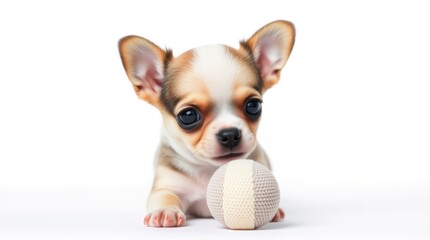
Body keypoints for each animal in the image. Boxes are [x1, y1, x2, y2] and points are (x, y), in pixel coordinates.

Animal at [118, 20, 296, 227]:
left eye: (254, 105)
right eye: (188, 116)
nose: (230, 134)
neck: (209, 169)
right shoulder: (167, 186)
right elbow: (165, 197)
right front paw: (165, 211)